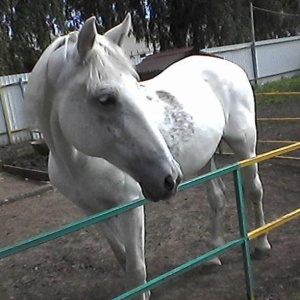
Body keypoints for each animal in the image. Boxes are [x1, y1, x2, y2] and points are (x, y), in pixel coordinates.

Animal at [24, 13, 270, 300]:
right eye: (105, 98)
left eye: (136, 85)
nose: (170, 178)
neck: (77, 163)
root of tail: (226, 65)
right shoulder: (92, 211)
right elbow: (122, 257)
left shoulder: (130, 204)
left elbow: (136, 268)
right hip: (206, 157)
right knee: (217, 199)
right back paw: (212, 257)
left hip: (244, 144)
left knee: (254, 189)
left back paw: (261, 245)